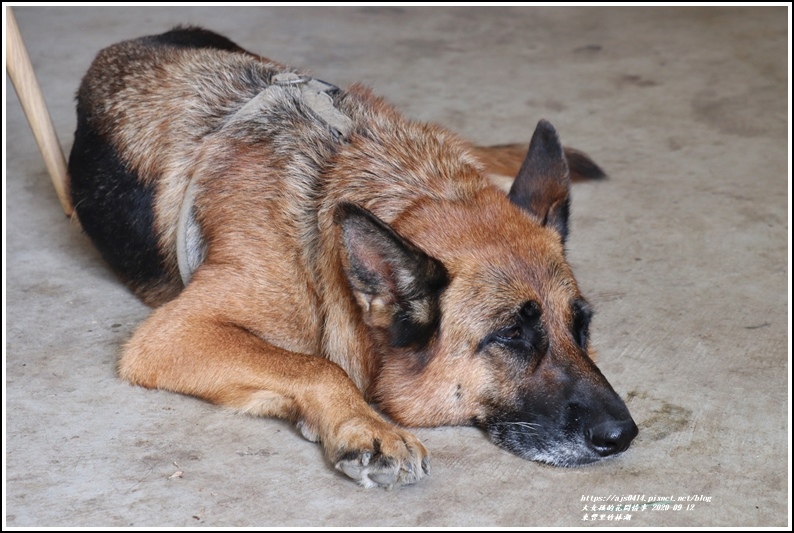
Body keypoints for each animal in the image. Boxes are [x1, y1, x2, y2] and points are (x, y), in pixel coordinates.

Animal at [69, 27, 636, 488]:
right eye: (512, 335)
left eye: (581, 325)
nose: (624, 434)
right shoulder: (171, 335)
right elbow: (316, 366)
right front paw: (365, 426)